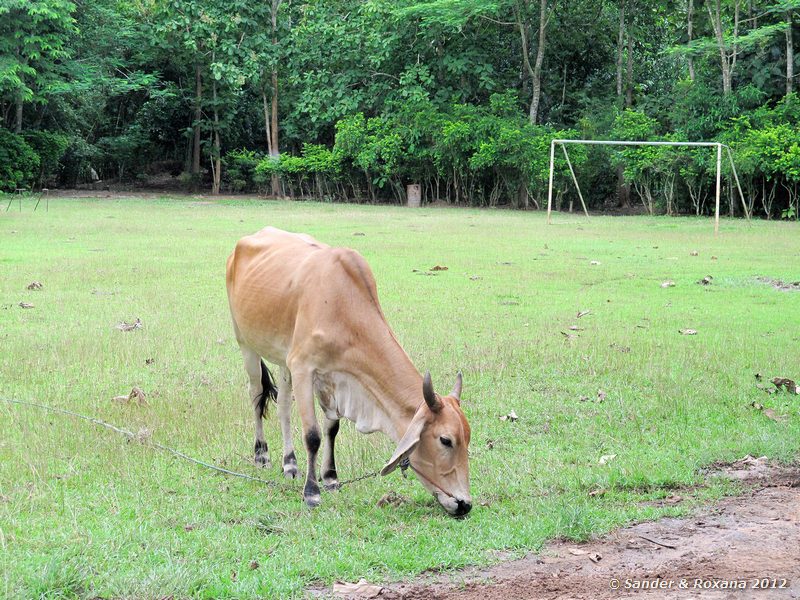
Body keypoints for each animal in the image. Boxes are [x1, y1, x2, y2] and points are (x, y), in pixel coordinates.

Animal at [225, 227, 472, 512]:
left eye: (468, 438)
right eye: (445, 440)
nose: (465, 504)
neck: (342, 305)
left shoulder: (334, 377)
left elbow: (332, 429)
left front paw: (331, 478)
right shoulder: (303, 368)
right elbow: (313, 435)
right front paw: (312, 492)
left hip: (282, 359)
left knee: (284, 406)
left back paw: (290, 463)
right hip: (246, 344)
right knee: (256, 396)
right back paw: (262, 455)